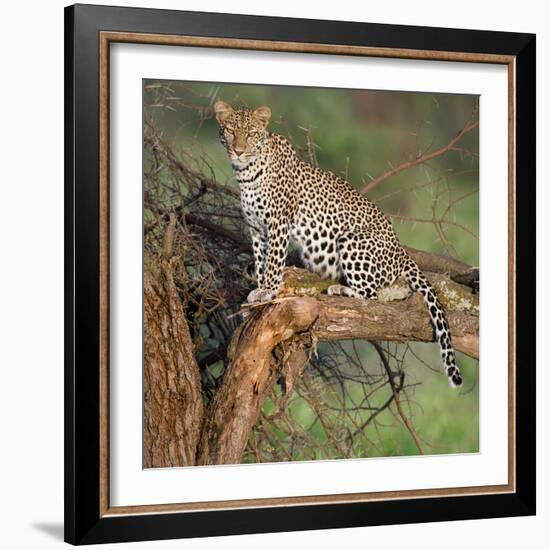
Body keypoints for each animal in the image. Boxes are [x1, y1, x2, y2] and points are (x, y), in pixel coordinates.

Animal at [213, 101, 464, 390]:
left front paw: (268, 292)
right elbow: (260, 260)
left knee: (372, 295)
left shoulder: (277, 223)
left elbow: (273, 263)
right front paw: (258, 289)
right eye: (230, 130)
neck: (247, 174)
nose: (239, 150)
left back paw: (340, 289)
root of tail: (402, 252)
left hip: (350, 240)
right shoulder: (256, 229)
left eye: (252, 134)